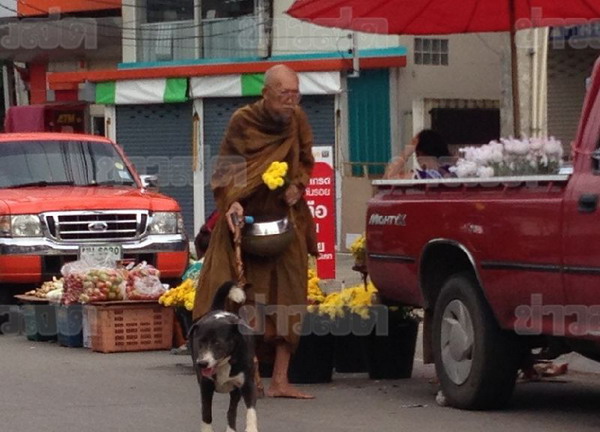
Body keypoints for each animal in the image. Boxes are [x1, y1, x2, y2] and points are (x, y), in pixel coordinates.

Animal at [190, 280, 258, 432]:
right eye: (200, 342)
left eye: (217, 343)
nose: (202, 363)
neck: (224, 363)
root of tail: (218, 311)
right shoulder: (205, 385)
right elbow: (206, 413)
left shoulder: (246, 383)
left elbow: (250, 410)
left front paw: (251, 428)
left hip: (235, 390)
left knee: (231, 411)